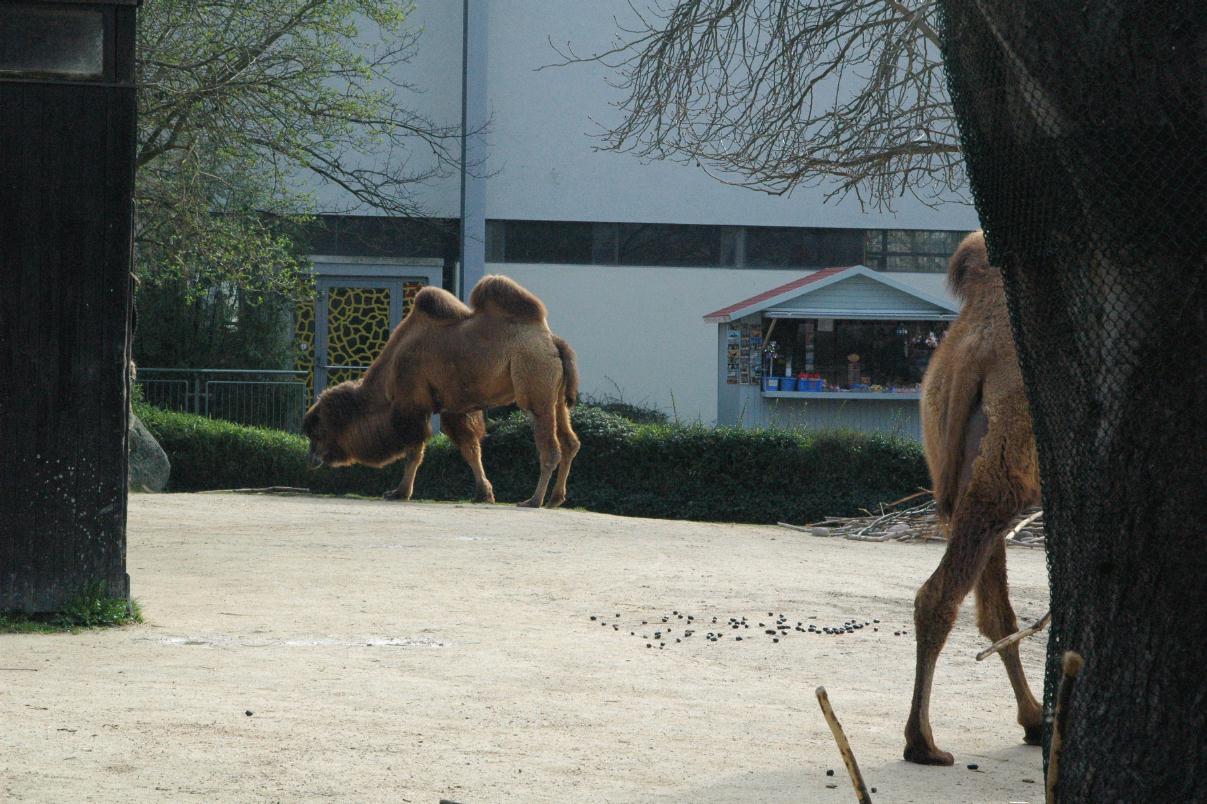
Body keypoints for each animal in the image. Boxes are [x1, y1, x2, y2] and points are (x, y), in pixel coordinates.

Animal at [304, 270, 581, 507]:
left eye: (318, 431)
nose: (312, 459)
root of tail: (554, 342)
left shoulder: (412, 402)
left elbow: (414, 451)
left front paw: (399, 492)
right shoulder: (455, 407)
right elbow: (470, 449)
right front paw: (484, 493)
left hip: (533, 379)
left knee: (549, 446)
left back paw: (533, 500)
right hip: (555, 396)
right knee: (569, 441)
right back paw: (555, 499)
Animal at [907, 230, 1047, 762]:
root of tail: (976, 344)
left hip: (961, 462)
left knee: (992, 609)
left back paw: (1035, 720)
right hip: (1004, 471)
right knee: (942, 594)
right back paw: (923, 742)